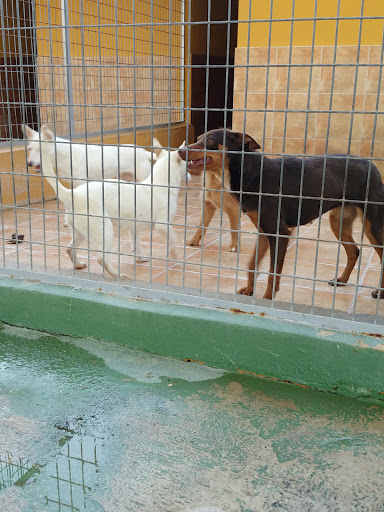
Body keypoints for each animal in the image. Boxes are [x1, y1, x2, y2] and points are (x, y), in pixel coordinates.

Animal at [22, 124, 154, 184]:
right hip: (127, 177)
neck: (63, 155)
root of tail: (144, 152)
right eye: (30, 149)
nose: (29, 163)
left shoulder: (81, 182)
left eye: (40, 150)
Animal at [39, 125, 189, 278]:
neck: (159, 183)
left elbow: (137, 244)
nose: (189, 176)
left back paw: (78, 264)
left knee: (69, 248)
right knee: (101, 258)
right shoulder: (163, 225)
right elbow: (173, 239)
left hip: (80, 232)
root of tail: (74, 194)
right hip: (105, 229)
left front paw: (140, 258)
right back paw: (117, 275)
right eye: (187, 165)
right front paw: (175, 256)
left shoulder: (133, 228)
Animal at [179, 129, 384, 300]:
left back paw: (379, 292)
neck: (250, 173)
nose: (180, 152)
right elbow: (252, 265)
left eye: (209, 140)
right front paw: (249, 290)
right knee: (354, 252)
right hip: (338, 222)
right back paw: (341, 279)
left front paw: (267, 298)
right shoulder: (264, 232)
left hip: (372, 226)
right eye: (198, 138)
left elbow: (272, 272)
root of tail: (372, 166)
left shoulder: (280, 233)